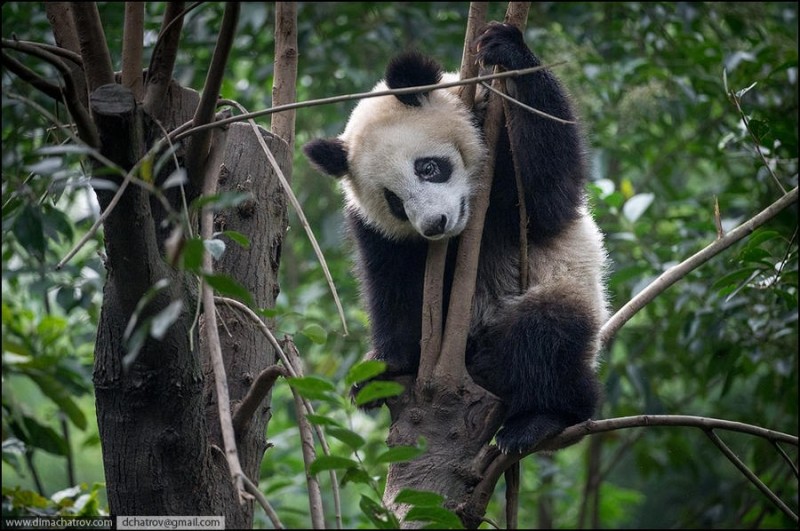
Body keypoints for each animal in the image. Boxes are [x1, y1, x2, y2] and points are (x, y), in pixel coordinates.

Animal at [304, 21, 608, 454]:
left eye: (428, 167)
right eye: (394, 201)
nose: (435, 223)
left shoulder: (500, 142)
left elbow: (547, 196)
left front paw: (506, 48)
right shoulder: (377, 231)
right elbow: (392, 287)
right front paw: (385, 368)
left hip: (564, 290)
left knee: (546, 335)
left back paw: (540, 420)